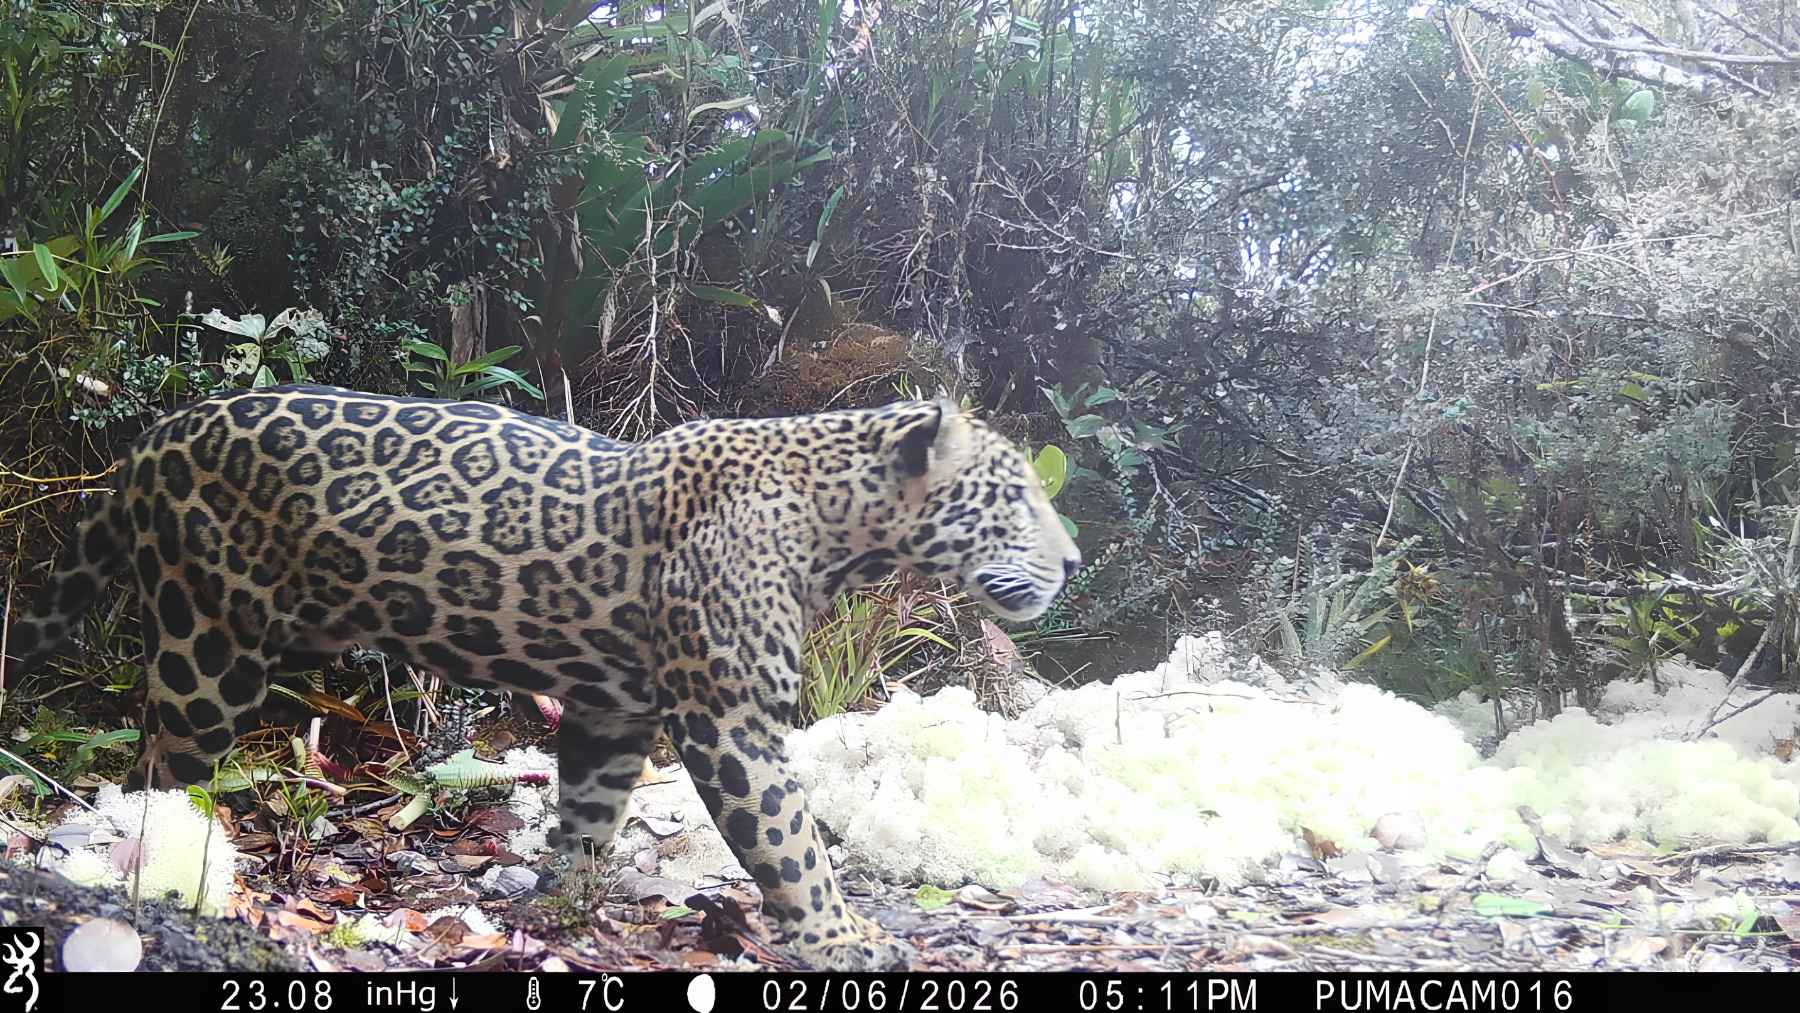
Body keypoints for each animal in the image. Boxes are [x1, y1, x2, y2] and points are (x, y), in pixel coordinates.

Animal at [4, 384, 1080, 970]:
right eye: (1017, 497)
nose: (1073, 561)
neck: (837, 529)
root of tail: (147, 441)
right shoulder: (729, 717)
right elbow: (791, 842)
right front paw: (841, 933)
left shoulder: (613, 707)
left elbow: (591, 810)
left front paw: (566, 901)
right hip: (209, 641)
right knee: (163, 763)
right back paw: (175, 861)